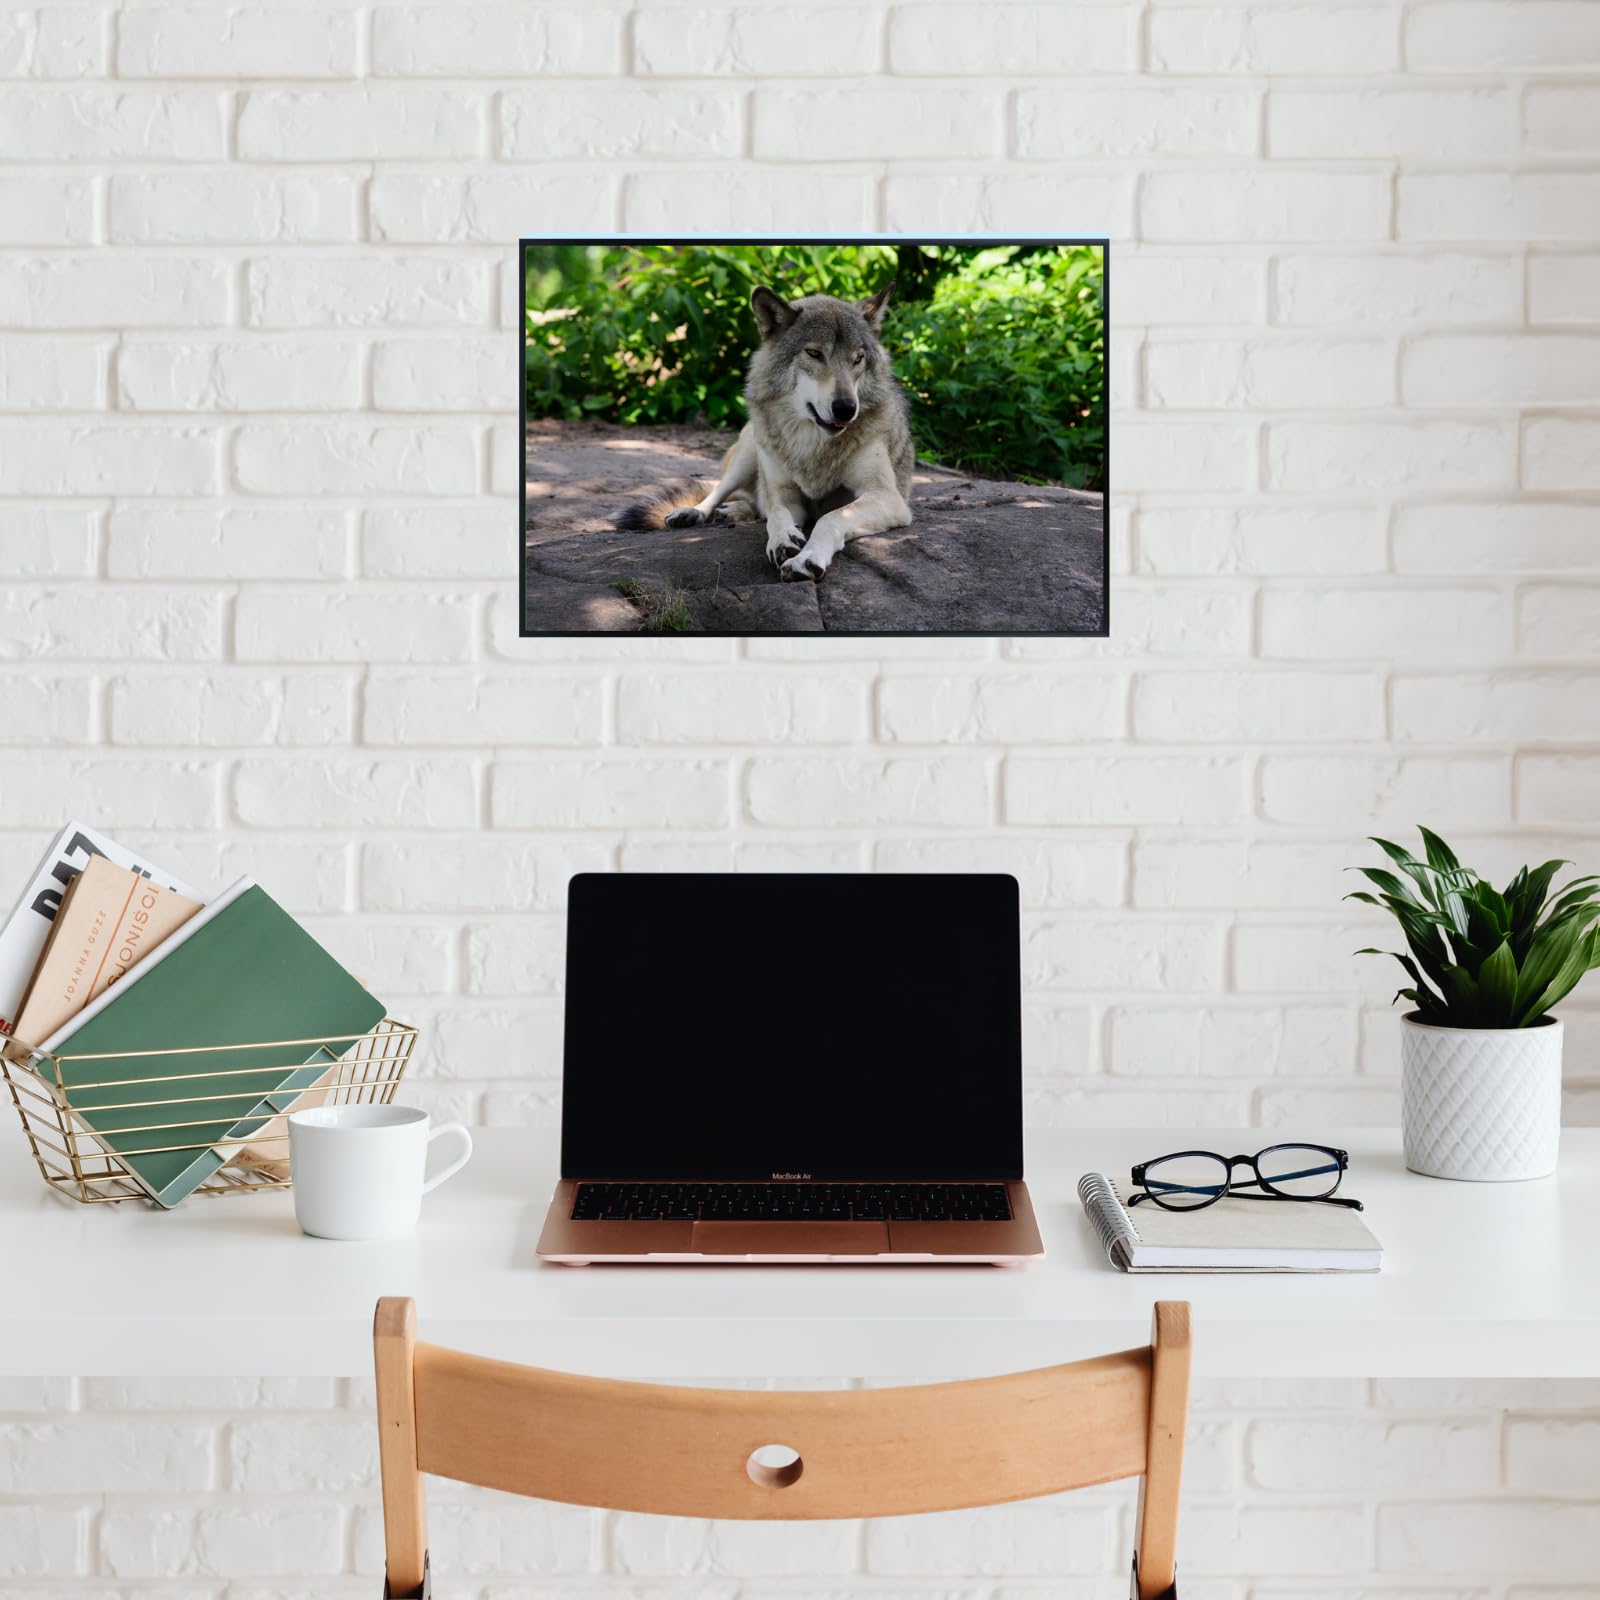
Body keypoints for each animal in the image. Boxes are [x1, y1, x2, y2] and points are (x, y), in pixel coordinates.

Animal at [618, 281, 914, 582]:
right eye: (814, 353)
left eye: (858, 359)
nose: (846, 408)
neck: (812, 444)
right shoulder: (785, 494)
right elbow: (776, 513)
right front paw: (782, 539)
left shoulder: (887, 496)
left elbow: (829, 517)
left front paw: (806, 560)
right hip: (750, 451)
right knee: (722, 492)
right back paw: (696, 512)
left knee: (753, 504)